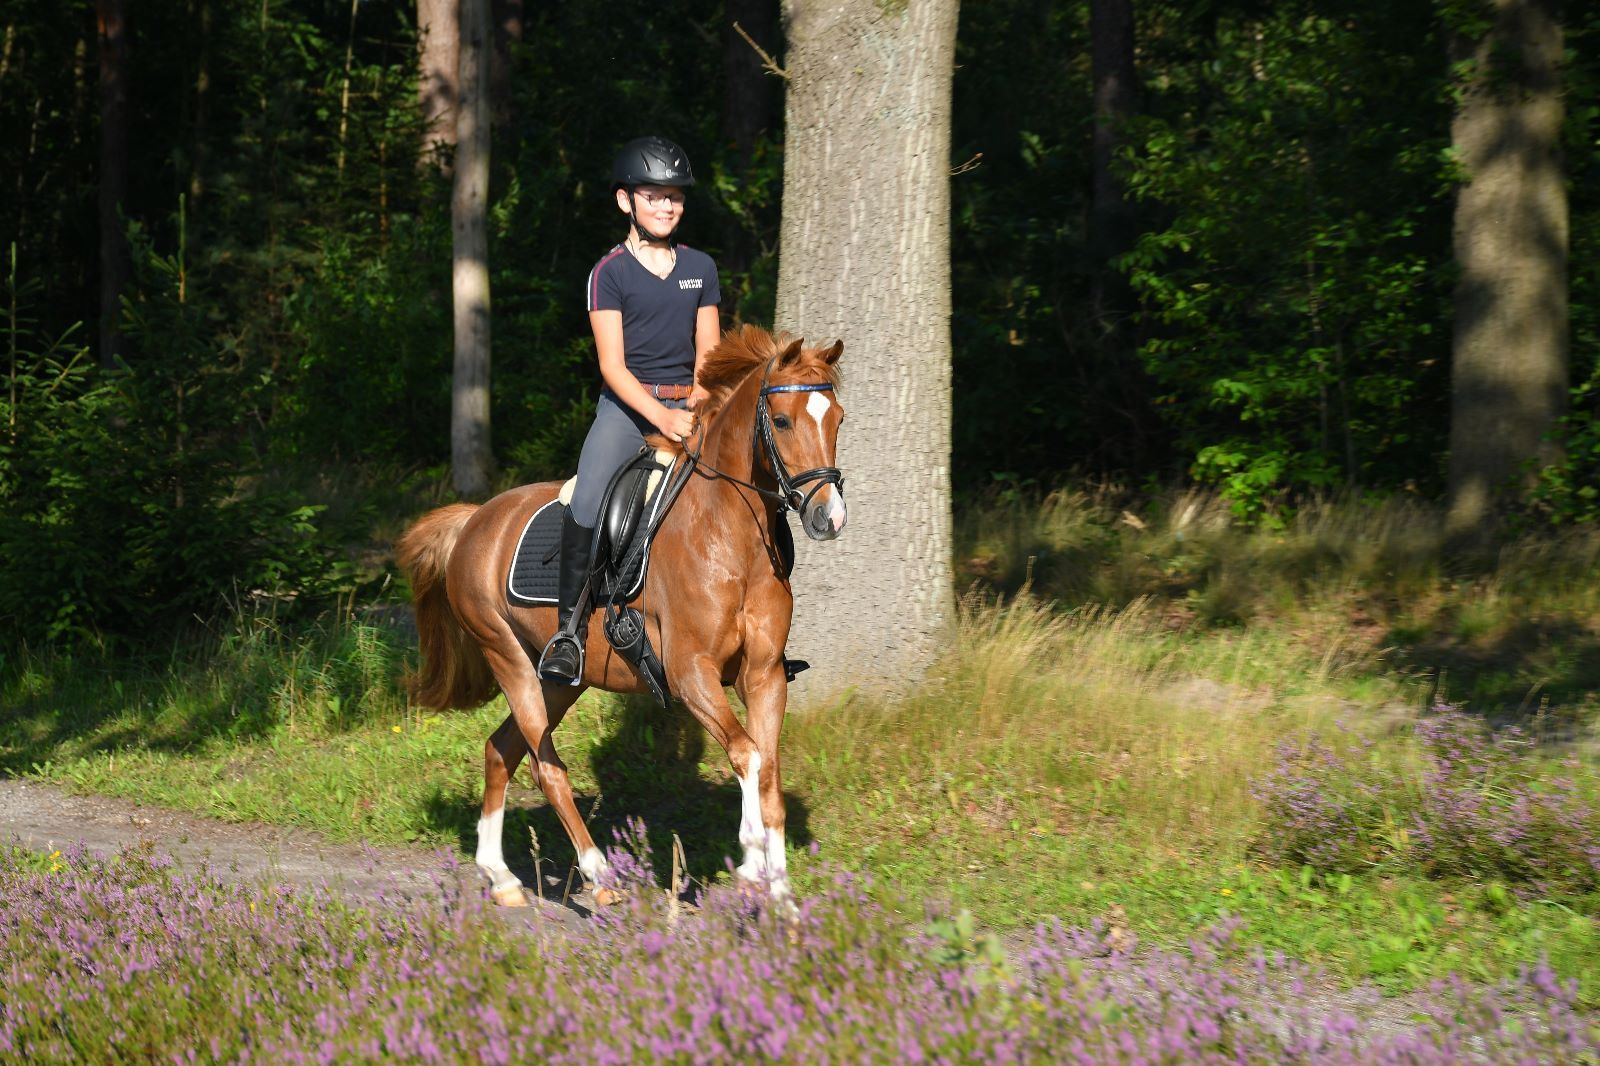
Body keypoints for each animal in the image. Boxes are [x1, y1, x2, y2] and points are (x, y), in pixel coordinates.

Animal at [395, 325, 846, 907]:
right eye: (784, 421)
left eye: (838, 419)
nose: (828, 516)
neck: (730, 539)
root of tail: (475, 519)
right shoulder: (691, 673)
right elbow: (746, 754)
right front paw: (750, 862)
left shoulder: (764, 674)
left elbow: (767, 771)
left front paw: (782, 895)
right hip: (507, 657)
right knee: (545, 765)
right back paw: (600, 875)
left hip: (560, 679)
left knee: (502, 749)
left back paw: (502, 876)